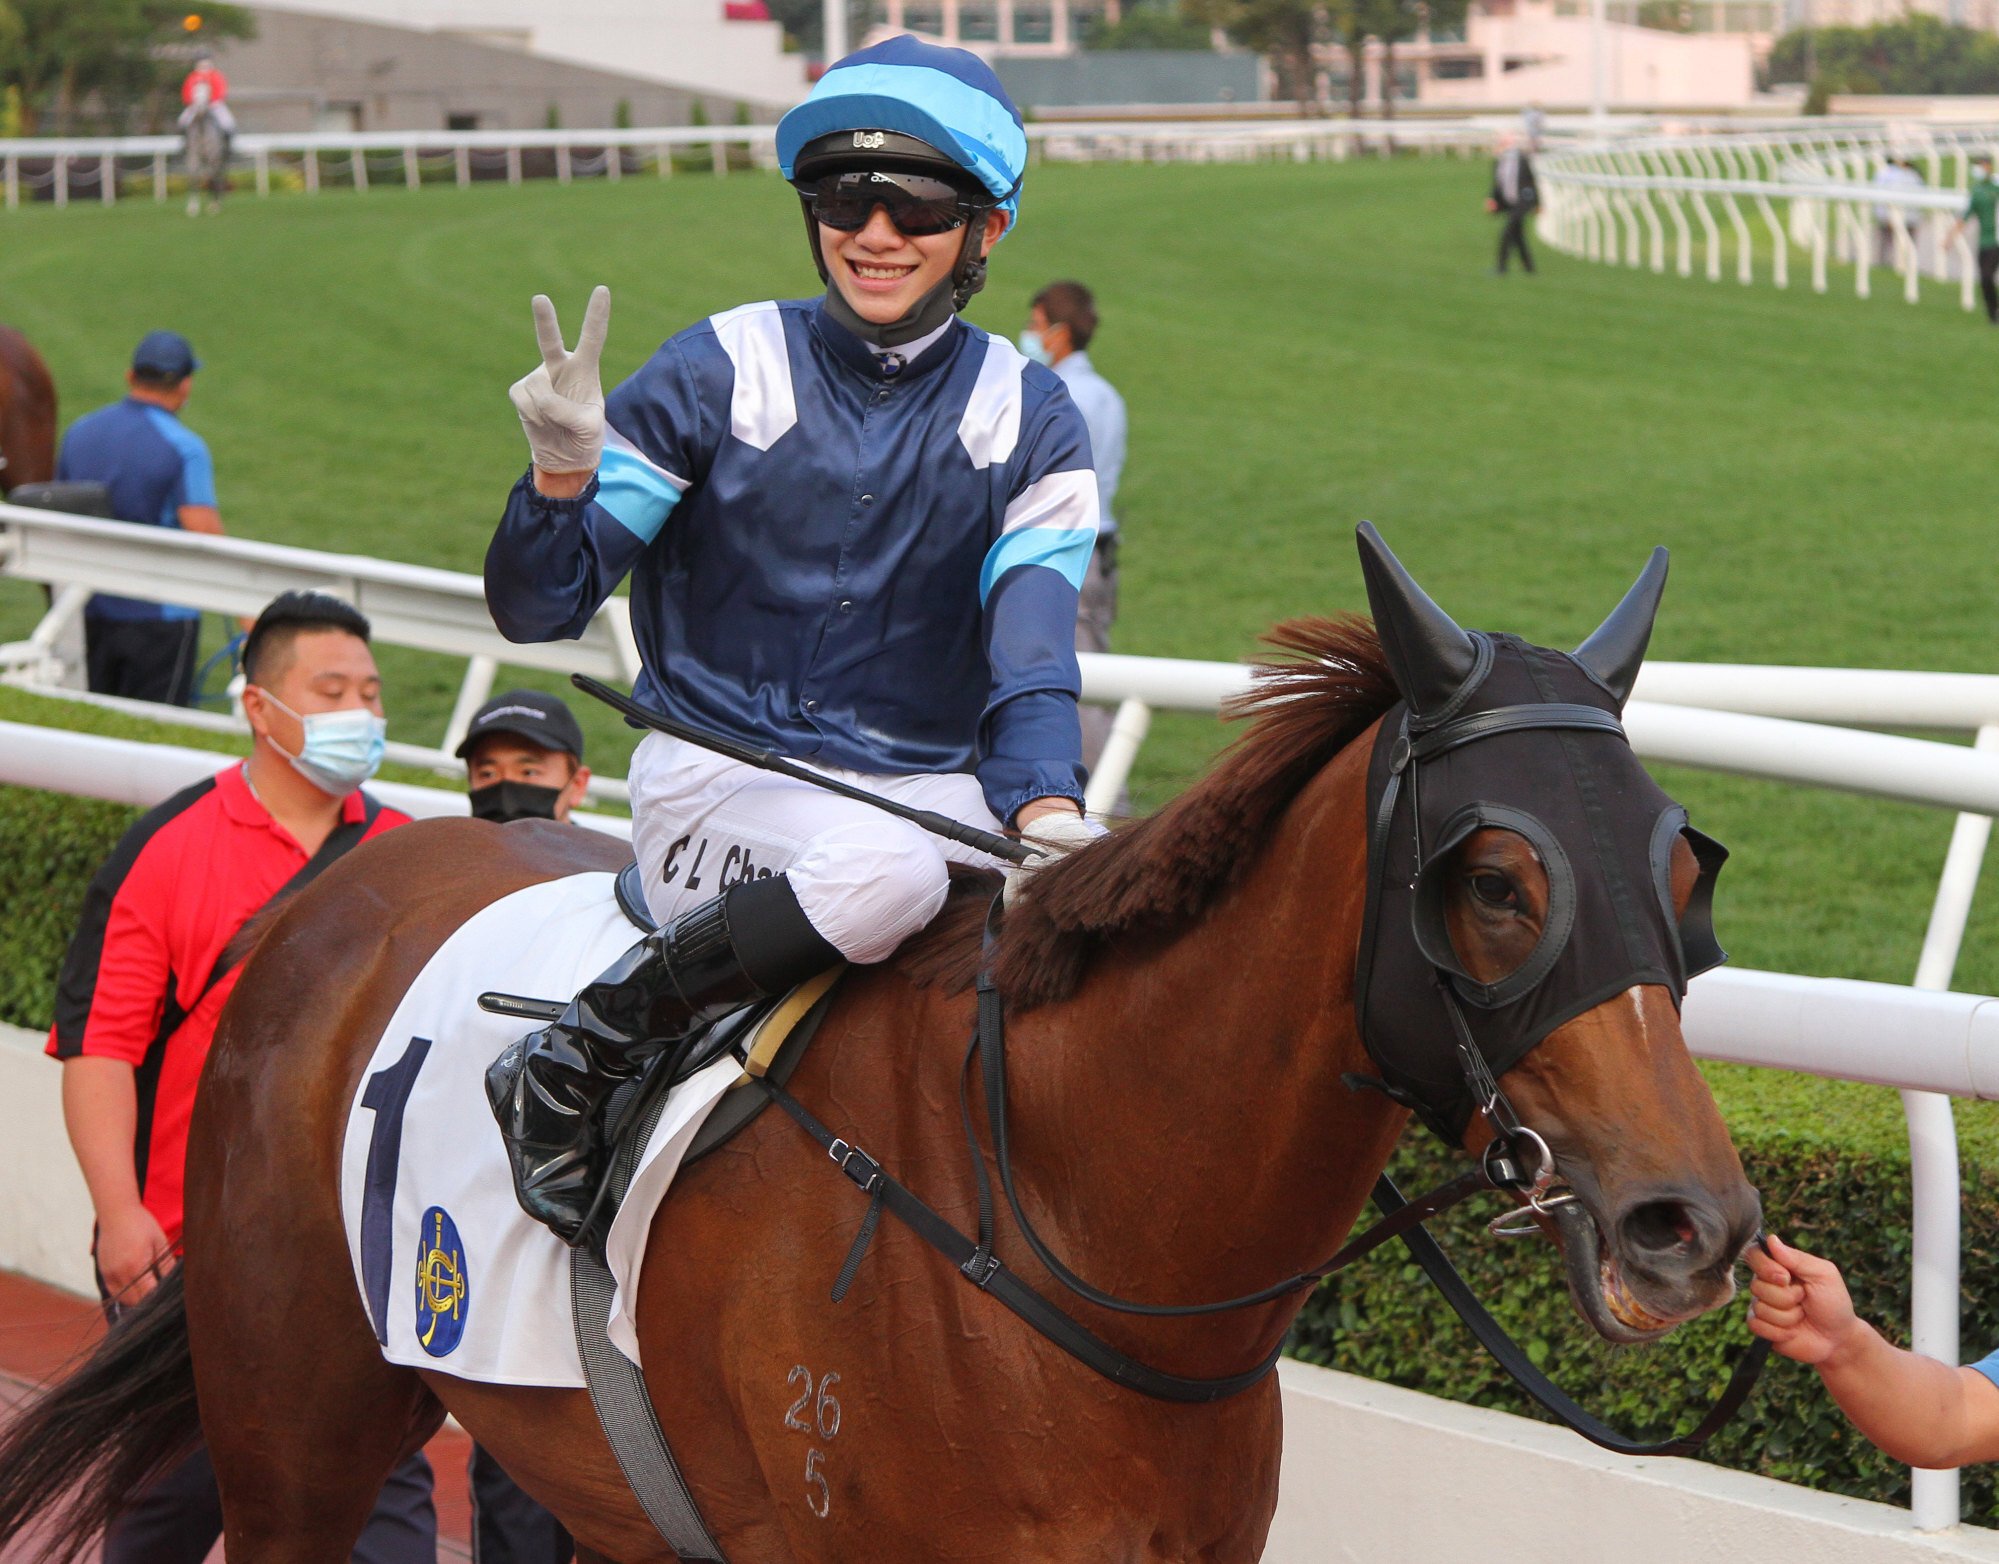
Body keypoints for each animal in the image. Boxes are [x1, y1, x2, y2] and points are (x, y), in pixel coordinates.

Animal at [0, 528, 1759, 1564]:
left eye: (1683, 865)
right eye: (1496, 880)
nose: (1690, 1224)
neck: (1061, 1225)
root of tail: (347, 884)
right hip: (293, 1408)